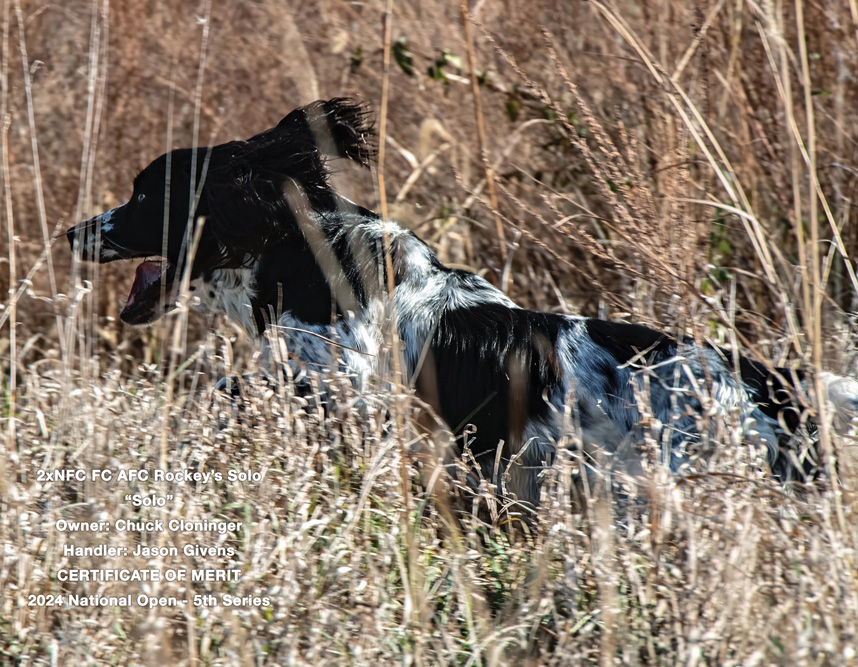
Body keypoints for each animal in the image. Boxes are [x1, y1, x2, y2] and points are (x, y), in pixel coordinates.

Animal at [67, 98, 858, 507]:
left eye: (144, 195)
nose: (73, 231)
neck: (304, 249)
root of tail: (771, 384)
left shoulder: (349, 384)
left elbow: (240, 387)